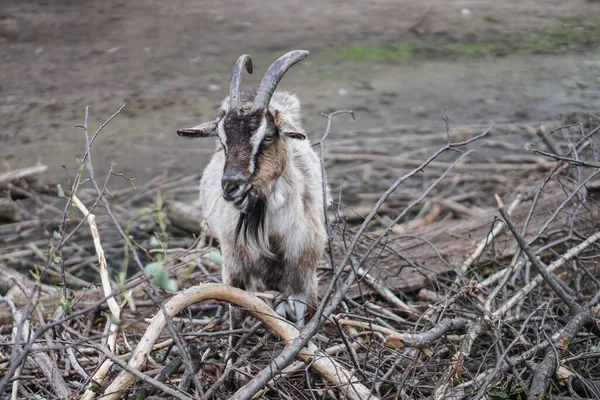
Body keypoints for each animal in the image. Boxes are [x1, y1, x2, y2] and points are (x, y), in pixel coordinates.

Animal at [177, 50, 328, 338]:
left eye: (267, 136)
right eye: (222, 140)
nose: (231, 186)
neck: (272, 233)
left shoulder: (304, 273)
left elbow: (306, 323)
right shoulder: (234, 267)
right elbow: (236, 317)